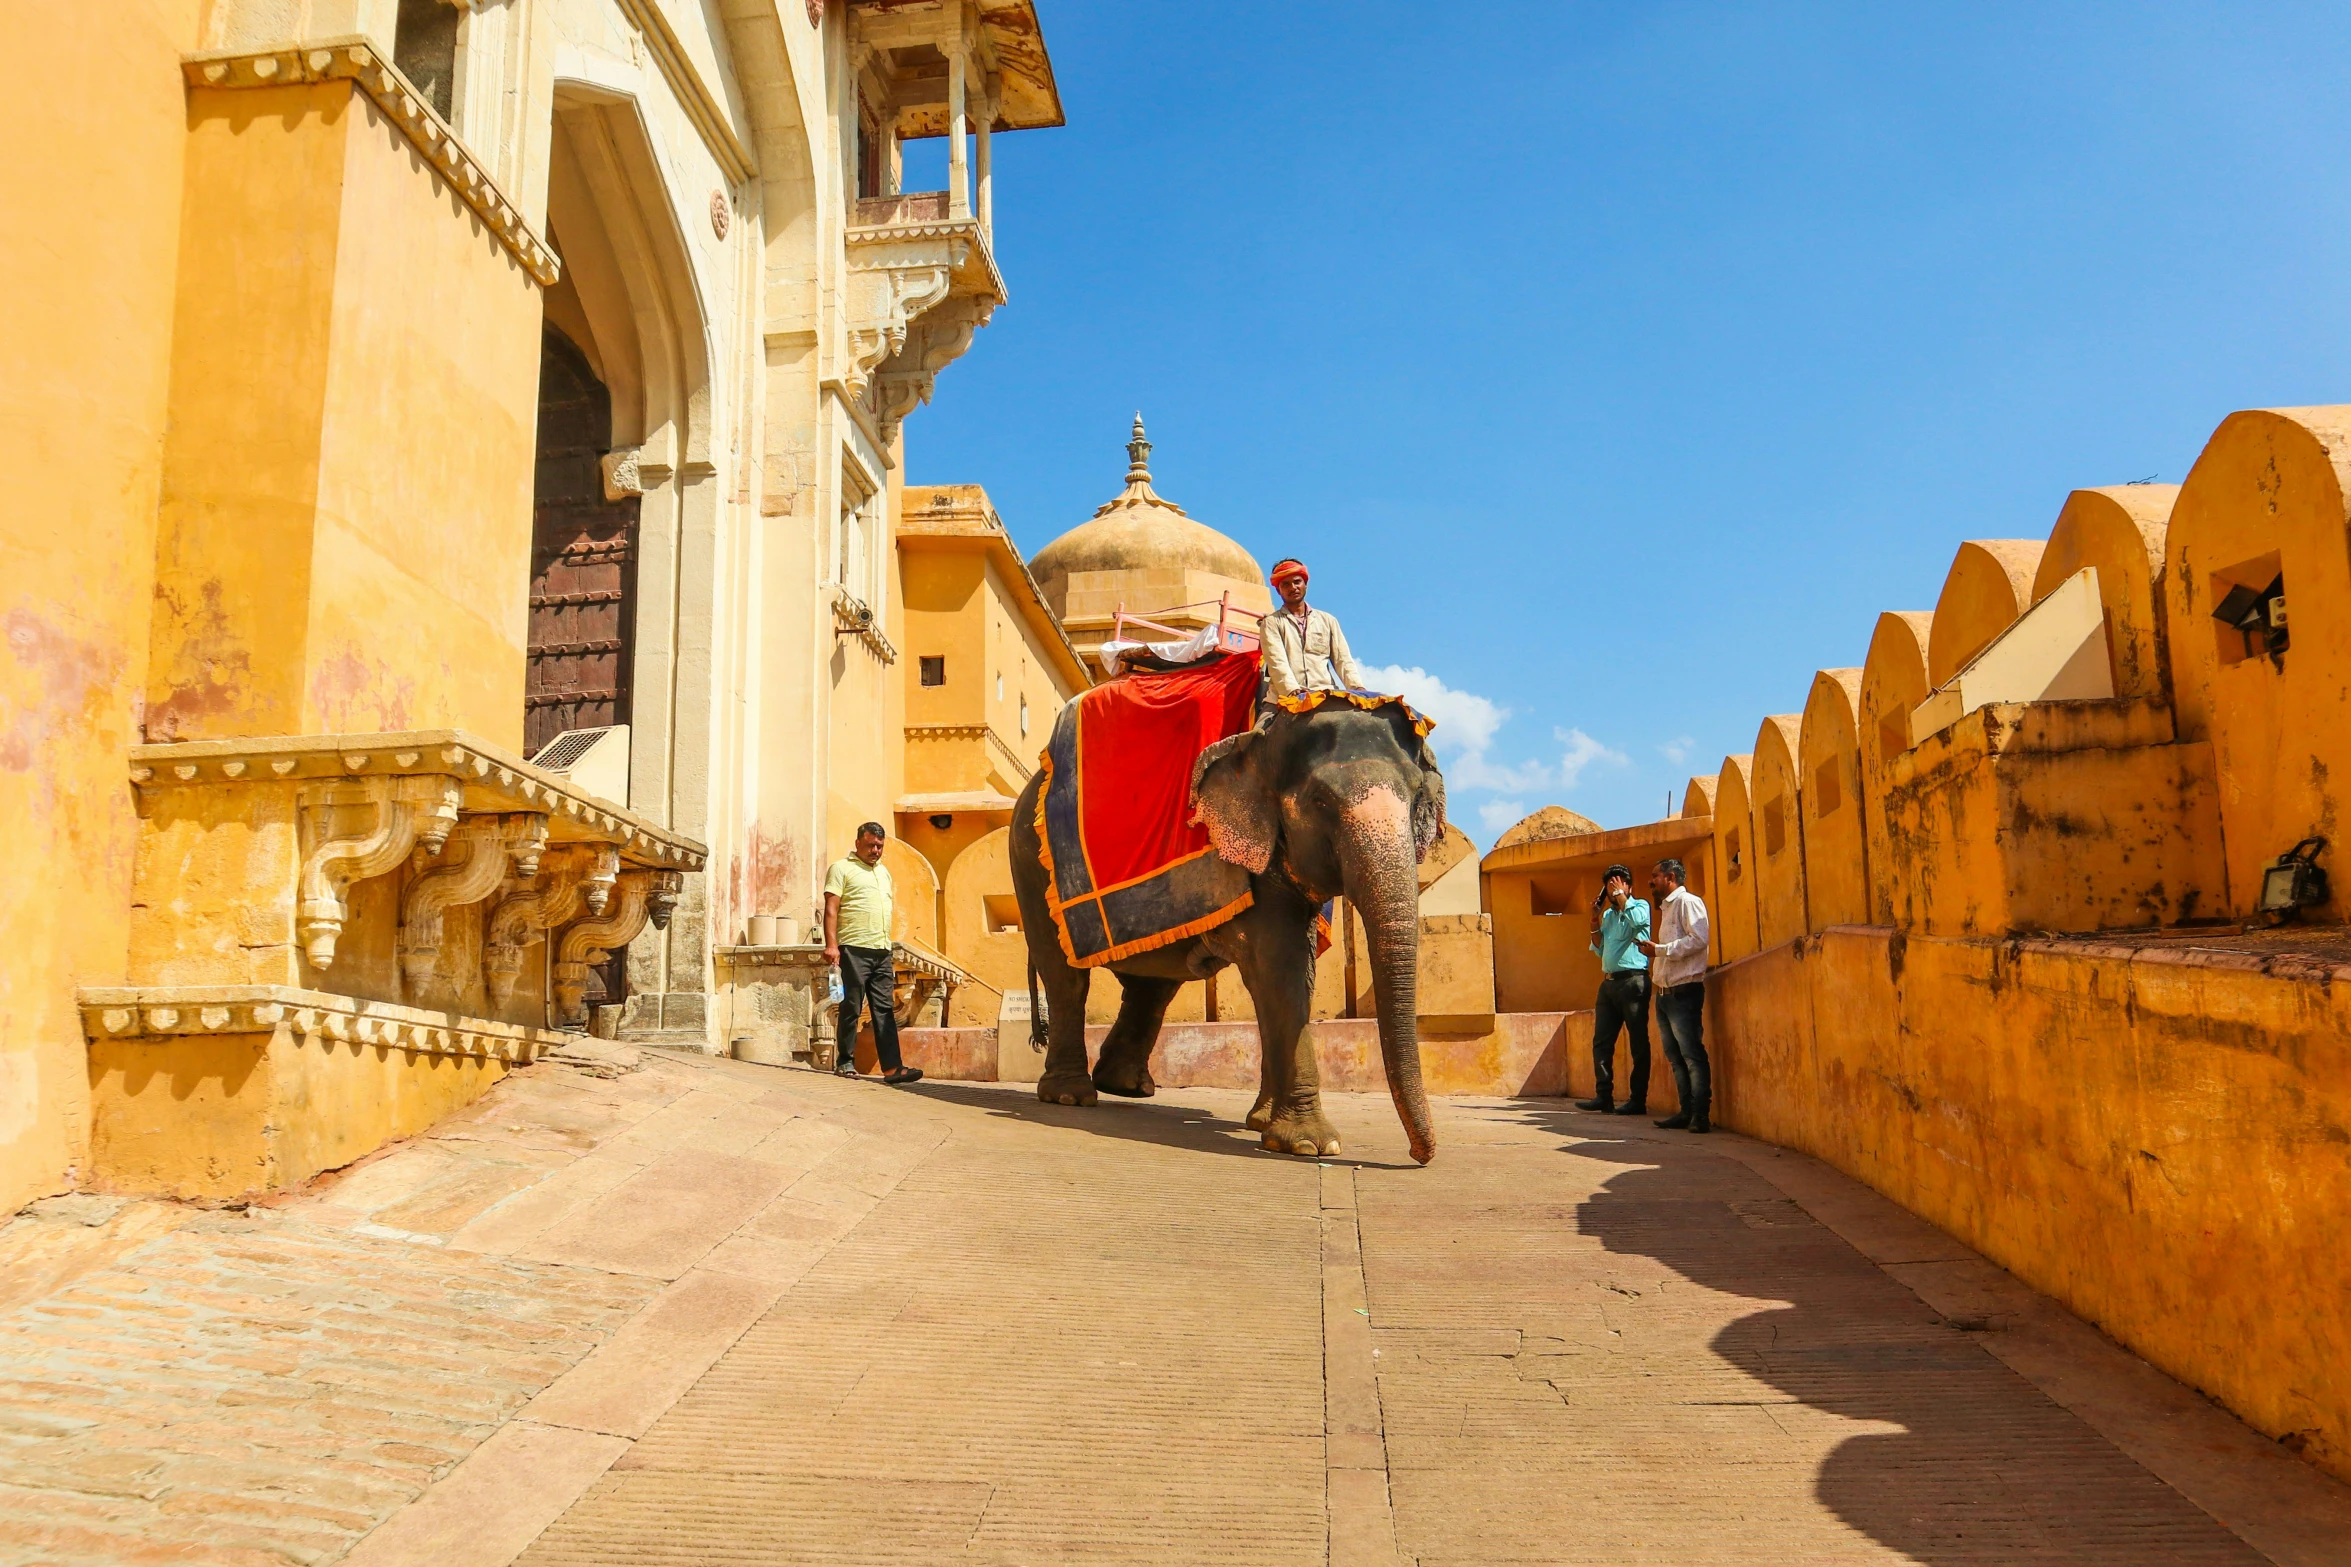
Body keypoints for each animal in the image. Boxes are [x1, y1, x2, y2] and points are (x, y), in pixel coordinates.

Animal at [1006, 700, 1438, 1165]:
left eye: (1417, 796)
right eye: (1320, 800)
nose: (1420, 1155)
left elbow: (1293, 976)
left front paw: (1264, 1123)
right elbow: (1279, 970)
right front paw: (1311, 1145)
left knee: (1153, 986)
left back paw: (1126, 1086)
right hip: (1031, 860)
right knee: (1065, 974)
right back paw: (1070, 1096)